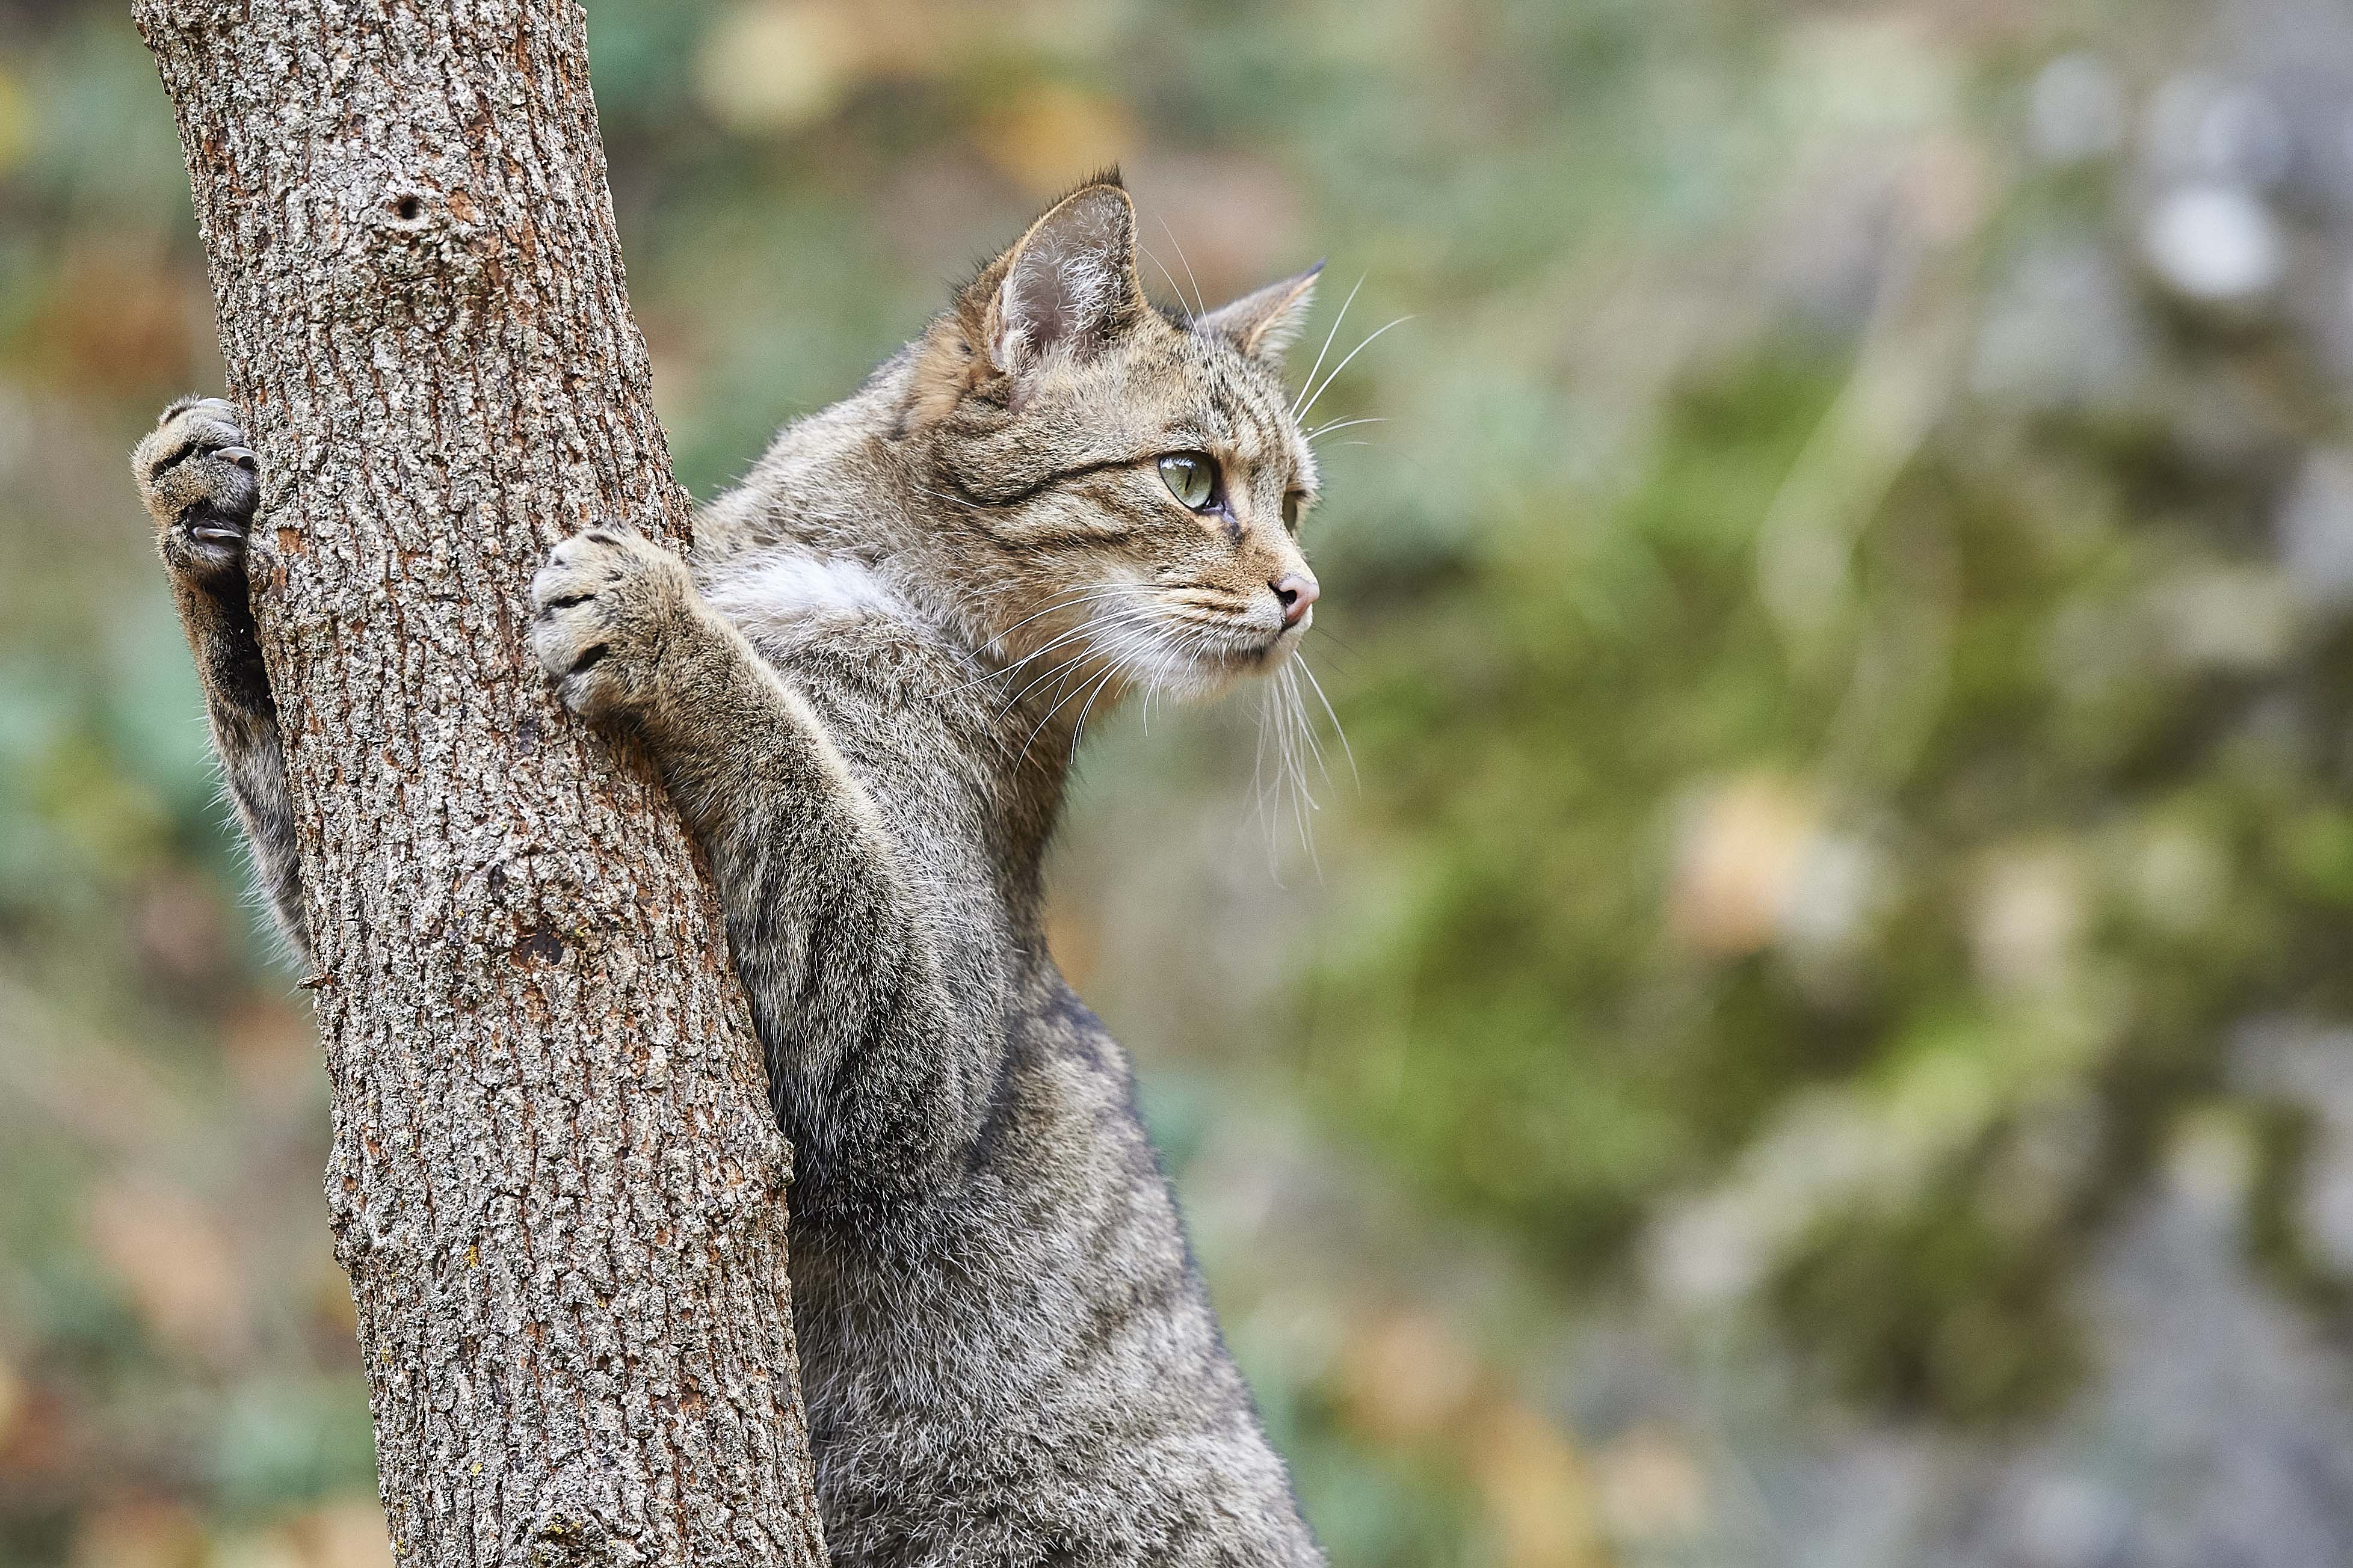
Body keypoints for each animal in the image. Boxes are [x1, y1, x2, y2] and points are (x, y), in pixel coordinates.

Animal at [137, 175, 1336, 1568]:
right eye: (1193, 478)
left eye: (1293, 504)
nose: (1303, 590)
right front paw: (200, 504)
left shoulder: (903, 1091)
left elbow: (790, 766)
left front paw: (672, 629)